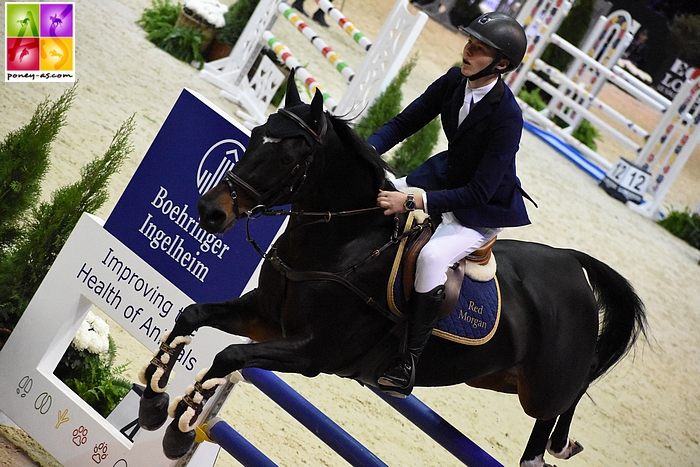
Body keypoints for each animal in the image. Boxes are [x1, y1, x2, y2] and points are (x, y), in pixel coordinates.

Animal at [139, 71, 648, 466]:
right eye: (253, 136)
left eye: (289, 155)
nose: (210, 212)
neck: (340, 240)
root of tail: (572, 263)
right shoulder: (263, 318)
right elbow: (192, 316)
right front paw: (154, 401)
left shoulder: (312, 354)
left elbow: (229, 357)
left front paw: (179, 430)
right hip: (498, 376)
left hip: (542, 388)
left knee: (571, 392)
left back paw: (551, 449)